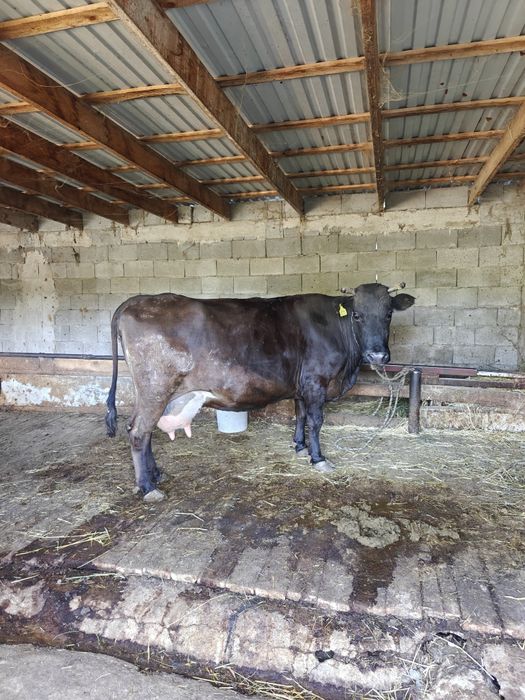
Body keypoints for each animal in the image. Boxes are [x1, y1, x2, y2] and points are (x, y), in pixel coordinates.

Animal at [105, 283, 415, 501]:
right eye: (358, 316)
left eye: (388, 314)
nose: (377, 355)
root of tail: (137, 300)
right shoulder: (316, 382)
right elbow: (316, 421)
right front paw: (318, 459)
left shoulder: (301, 386)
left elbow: (300, 415)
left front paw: (299, 446)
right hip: (155, 388)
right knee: (139, 432)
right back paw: (148, 487)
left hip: (150, 392)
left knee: (142, 430)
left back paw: (156, 474)